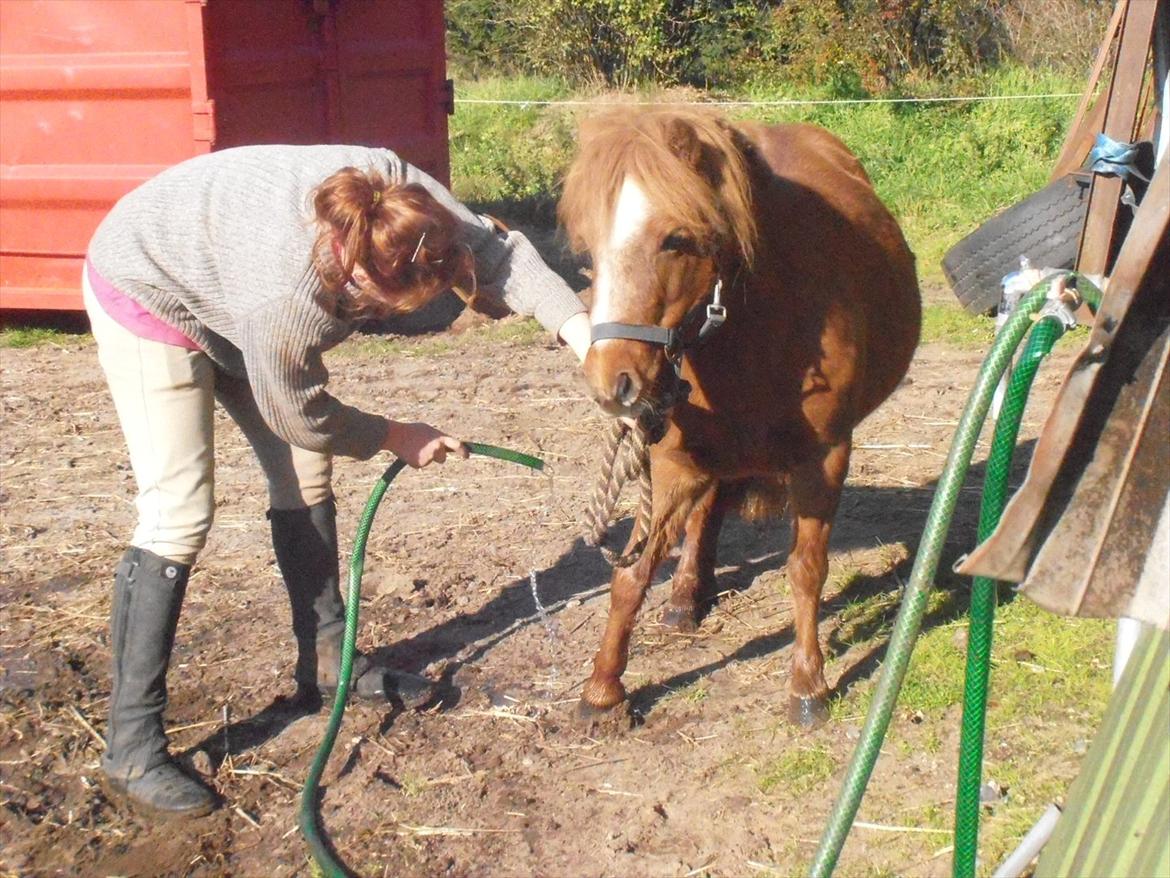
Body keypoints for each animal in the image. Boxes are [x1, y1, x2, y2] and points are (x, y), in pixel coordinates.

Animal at [561, 110, 917, 730]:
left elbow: (807, 569)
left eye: (676, 239)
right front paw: (602, 691)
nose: (612, 384)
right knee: (703, 515)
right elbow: (631, 574)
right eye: (590, 251)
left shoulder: (823, 459)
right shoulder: (673, 462)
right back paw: (685, 597)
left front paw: (808, 686)